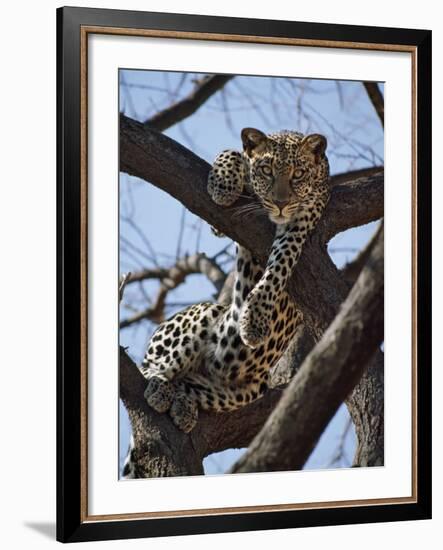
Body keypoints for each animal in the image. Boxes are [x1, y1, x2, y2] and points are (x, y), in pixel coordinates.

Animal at [121, 128, 330, 478]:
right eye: (267, 171)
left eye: (298, 174)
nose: (280, 204)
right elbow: (231, 152)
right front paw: (222, 184)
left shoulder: (303, 218)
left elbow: (280, 265)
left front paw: (255, 319)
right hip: (204, 314)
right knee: (150, 366)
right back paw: (160, 386)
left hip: (244, 389)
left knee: (191, 385)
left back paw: (182, 404)